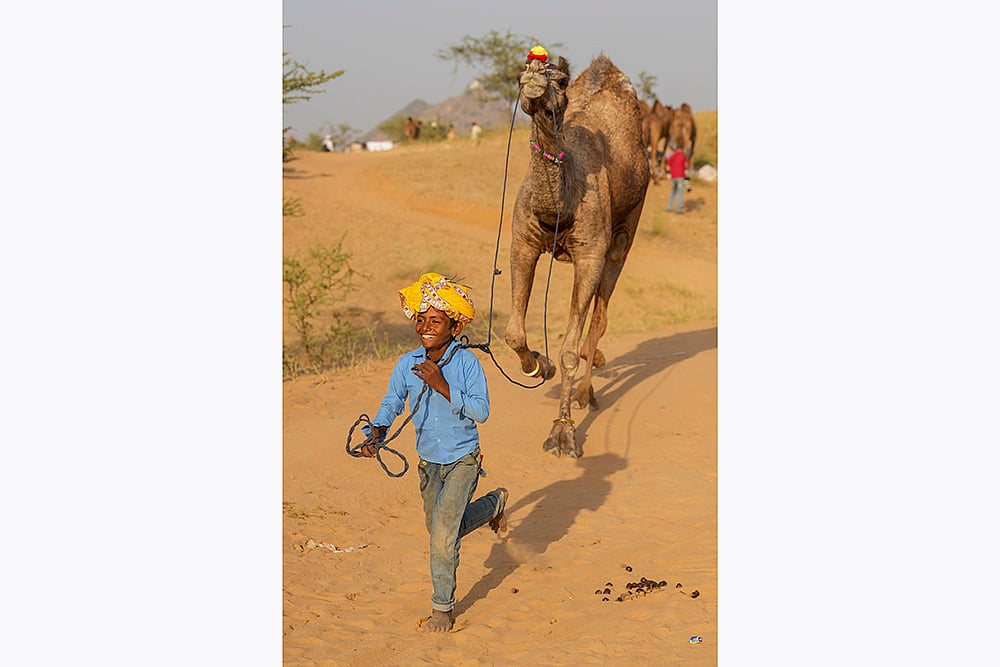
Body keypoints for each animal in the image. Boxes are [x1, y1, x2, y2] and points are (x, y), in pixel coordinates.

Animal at [505, 52, 650, 458]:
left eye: (562, 81)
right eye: (521, 70)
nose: (535, 75)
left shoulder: (590, 255)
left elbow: (570, 349)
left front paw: (563, 433)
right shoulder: (523, 242)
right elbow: (513, 333)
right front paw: (539, 367)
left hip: (625, 230)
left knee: (598, 317)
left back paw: (588, 393)